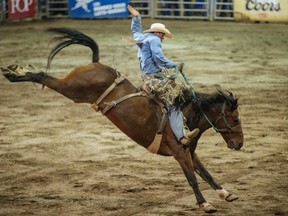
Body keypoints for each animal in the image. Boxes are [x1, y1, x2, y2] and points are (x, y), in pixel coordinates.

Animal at [0, 27, 243, 213]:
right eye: (234, 117)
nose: (239, 143)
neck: (185, 115)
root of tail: (96, 63)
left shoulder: (189, 151)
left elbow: (205, 172)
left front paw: (225, 193)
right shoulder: (179, 152)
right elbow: (192, 177)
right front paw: (204, 204)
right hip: (71, 89)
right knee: (43, 76)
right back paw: (13, 73)